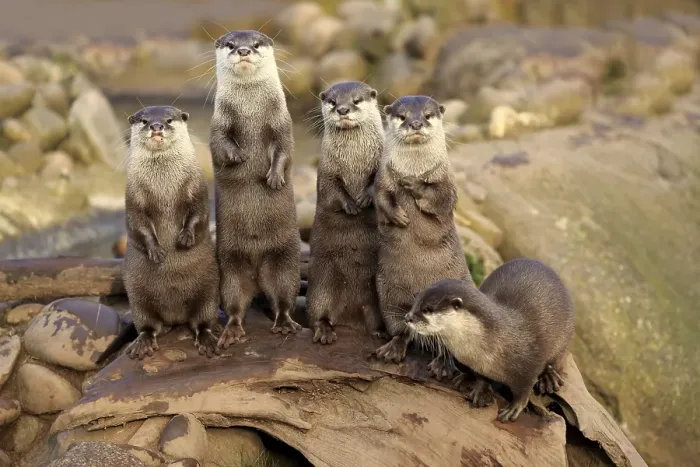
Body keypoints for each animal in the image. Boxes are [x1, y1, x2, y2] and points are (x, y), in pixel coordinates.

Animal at [96, 105, 220, 364]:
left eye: (169, 119)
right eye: (144, 120)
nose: (156, 126)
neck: (164, 186)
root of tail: (175, 316)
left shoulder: (197, 188)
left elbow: (199, 213)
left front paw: (185, 238)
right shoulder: (133, 197)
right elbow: (138, 224)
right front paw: (156, 251)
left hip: (209, 288)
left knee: (203, 319)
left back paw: (207, 339)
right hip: (137, 295)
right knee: (148, 324)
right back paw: (143, 343)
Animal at [210, 30, 301, 348]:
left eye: (257, 43)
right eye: (230, 44)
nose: (244, 50)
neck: (251, 112)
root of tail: (258, 270)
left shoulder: (282, 122)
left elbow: (285, 150)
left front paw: (274, 177)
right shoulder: (219, 123)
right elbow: (220, 144)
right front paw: (238, 155)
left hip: (285, 259)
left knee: (284, 296)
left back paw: (285, 323)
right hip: (229, 265)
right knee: (235, 301)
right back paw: (232, 331)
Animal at [306, 81, 385, 344]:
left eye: (356, 100)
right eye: (332, 101)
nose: (342, 109)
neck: (354, 161)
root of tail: (349, 317)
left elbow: (377, 183)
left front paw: (365, 197)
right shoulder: (327, 170)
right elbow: (333, 191)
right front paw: (351, 205)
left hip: (374, 297)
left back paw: (380, 332)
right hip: (320, 285)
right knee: (316, 313)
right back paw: (324, 331)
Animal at [373, 95, 472, 380]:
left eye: (427, 115)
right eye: (402, 115)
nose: (416, 124)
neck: (415, 167)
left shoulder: (446, 182)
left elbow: (439, 197)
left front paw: (415, 184)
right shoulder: (382, 178)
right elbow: (381, 198)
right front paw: (399, 217)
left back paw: (443, 365)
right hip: (389, 297)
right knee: (402, 329)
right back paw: (392, 348)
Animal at [404, 258, 576, 423]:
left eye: (427, 309)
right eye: (416, 301)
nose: (407, 317)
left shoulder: (530, 365)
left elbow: (524, 389)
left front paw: (514, 408)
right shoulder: (479, 365)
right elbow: (482, 377)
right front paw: (481, 390)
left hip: (564, 338)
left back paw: (549, 378)